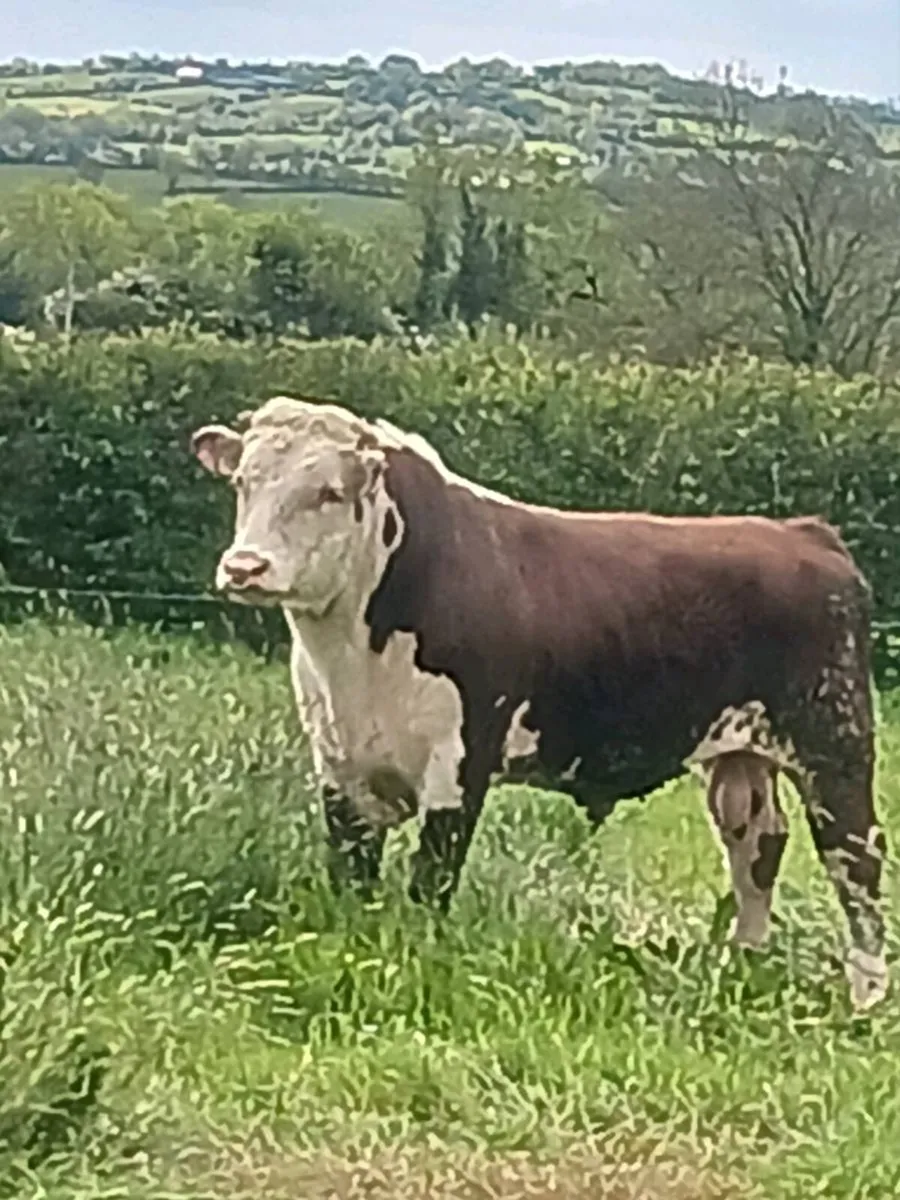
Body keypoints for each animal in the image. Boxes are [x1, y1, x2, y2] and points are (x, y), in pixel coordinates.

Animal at [190, 395, 888, 1011]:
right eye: (244, 481)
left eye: (329, 492)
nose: (245, 567)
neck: (354, 655)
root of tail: (802, 533)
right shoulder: (340, 768)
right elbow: (351, 881)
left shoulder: (459, 767)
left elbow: (430, 883)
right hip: (743, 754)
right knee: (758, 847)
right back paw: (744, 965)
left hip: (835, 739)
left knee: (857, 858)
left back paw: (866, 999)